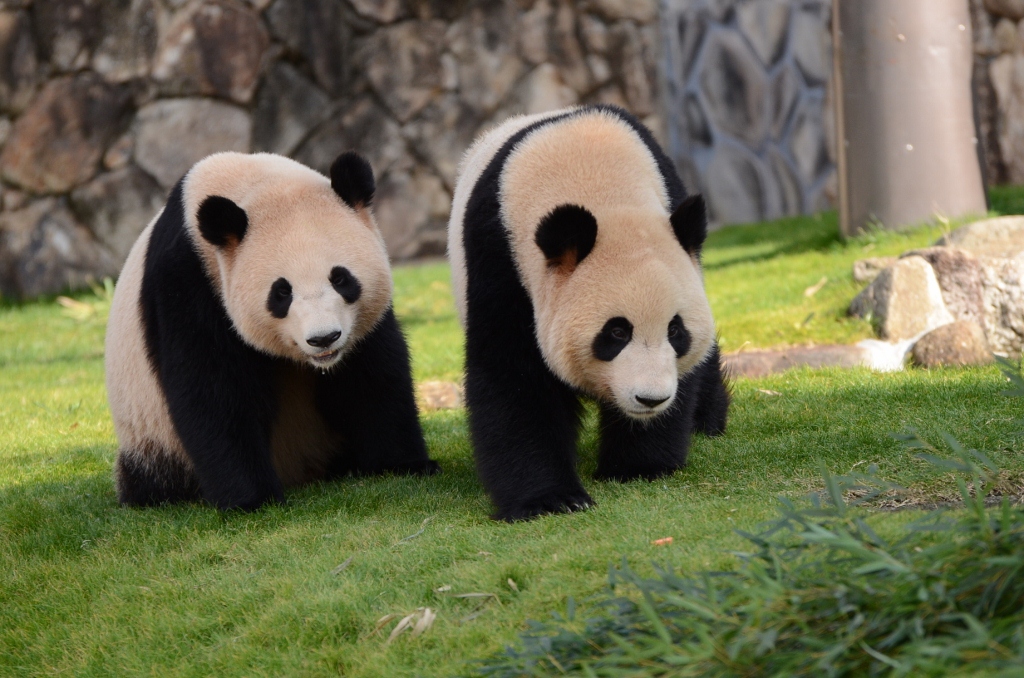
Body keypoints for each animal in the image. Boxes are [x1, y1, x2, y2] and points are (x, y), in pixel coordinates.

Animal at [105, 151, 438, 512]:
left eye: (340, 278)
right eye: (281, 292)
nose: (323, 339)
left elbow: (372, 376)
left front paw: (404, 464)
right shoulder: (188, 282)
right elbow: (213, 389)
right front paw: (252, 498)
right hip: (151, 436)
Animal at [448, 104, 729, 520]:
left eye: (675, 331)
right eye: (616, 332)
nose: (651, 400)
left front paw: (639, 464)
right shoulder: (499, 257)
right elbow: (512, 375)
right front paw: (551, 498)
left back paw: (707, 422)